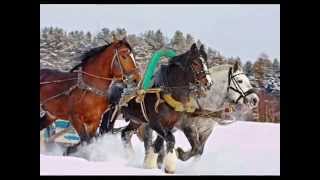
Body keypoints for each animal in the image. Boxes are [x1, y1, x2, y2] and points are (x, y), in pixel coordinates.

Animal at [107, 43, 212, 173]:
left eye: (206, 61)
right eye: (195, 63)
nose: (208, 83)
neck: (166, 93)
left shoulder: (169, 124)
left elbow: (158, 144)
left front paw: (150, 163)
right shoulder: (155, 123)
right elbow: (170, 139)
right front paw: (169, 164)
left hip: (136, 121)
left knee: (125, 134)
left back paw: (130, 156)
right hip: (111, 115)